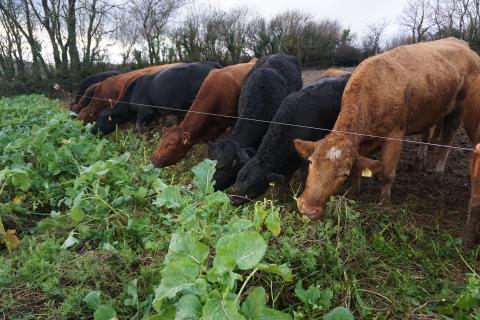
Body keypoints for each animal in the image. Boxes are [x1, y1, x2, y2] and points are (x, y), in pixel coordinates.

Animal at [91, 61, 222, 135]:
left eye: (102, 118)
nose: (92, 130)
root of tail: (211, 63)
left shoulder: (144, 111)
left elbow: (140, 128)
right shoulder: (157, 113)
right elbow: (158, 126)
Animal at [292, 38, 480, 220]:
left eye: (343, 174)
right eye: (311, 162)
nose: (307, 209)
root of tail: (462, 43)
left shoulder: (395, 136)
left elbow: (387, 174)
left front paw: (385, 205)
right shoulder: (362, 142)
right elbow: (359, 168)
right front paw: (353, 194)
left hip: (458, 110)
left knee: (447, 140)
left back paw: (438, 174)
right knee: (427, 134)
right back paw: (418, 163)